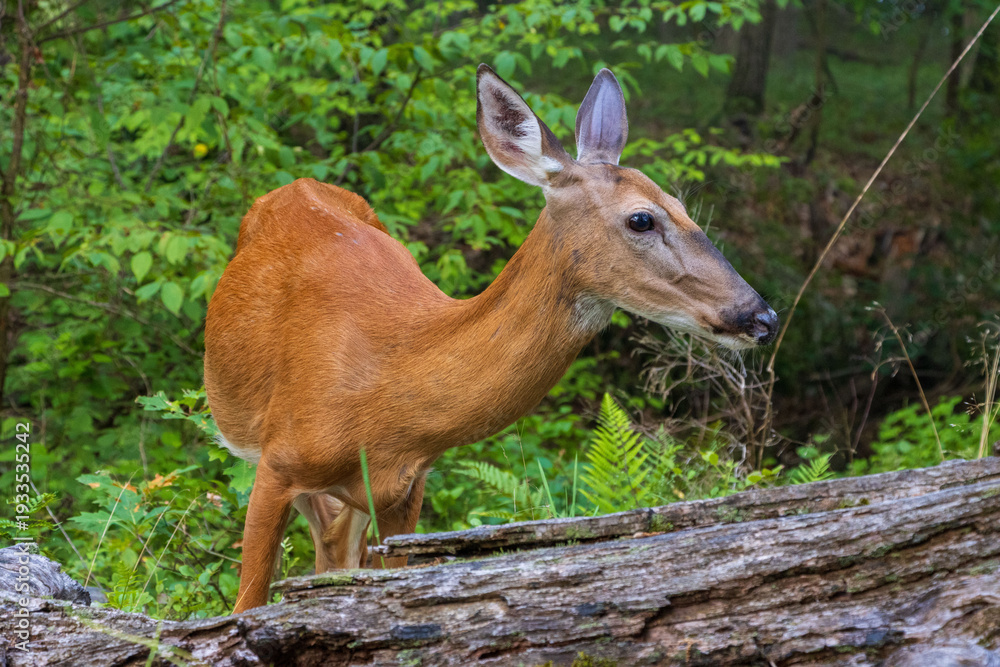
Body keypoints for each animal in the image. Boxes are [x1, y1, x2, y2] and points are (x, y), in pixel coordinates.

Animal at [204, 64, 778, 613]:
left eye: (681, 204)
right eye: (642, 218)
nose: (762, 316)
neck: (383, 401)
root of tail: (295, 184)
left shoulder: (405, 492)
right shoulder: (276, 464)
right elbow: (245, 604)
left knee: (333, 545)